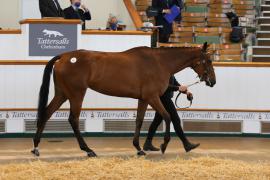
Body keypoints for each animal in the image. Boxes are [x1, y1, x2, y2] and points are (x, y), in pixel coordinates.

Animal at [31, 43, 215, 157]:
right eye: (209, 60)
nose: (212, 81)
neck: (159, 62)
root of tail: (64, 56)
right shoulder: (153, 97)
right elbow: (168, 117)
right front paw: (163, 145)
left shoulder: (144, 99)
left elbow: (139, 120)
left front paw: (139, 148)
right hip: (76, 94)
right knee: (73, 119)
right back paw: (88, 150)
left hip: (62, 94)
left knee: (46, 113)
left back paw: (36, 147)